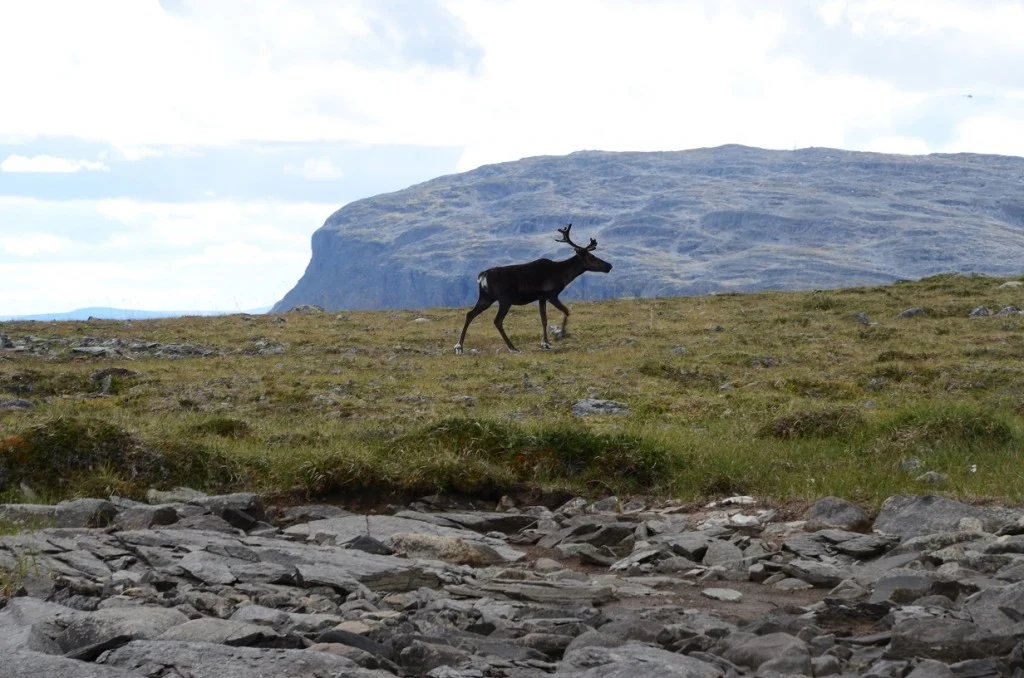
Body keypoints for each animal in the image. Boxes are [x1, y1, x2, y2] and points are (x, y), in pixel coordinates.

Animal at [454, 223, 612, 354]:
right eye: (591, 257)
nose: (609, 266)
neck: (562, 274)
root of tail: (482, 276)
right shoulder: (551, 294)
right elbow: (566, 311)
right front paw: (559, 335)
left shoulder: (541, 298)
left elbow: (544, 319)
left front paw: (545, 343)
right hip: (504, 299)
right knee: (497, 320)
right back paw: (512, 347)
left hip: (486, 297)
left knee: (470, 314)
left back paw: (459, 346)